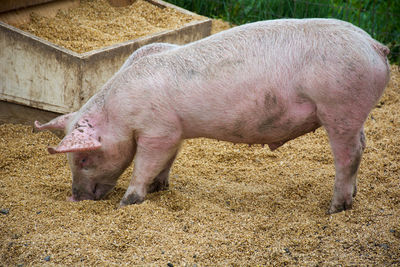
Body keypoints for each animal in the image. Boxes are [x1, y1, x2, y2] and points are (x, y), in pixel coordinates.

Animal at [36, 18, 390, 215]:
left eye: (83, 158)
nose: (74, 198)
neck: (119, 111)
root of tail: (376, 45)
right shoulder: (175, 131)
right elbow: (167, 161)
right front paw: (160, 188)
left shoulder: (157, 129)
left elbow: (144, 164)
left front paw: (128, 203)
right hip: (351, 112)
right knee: (362, 144)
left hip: (339, 106)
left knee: (349, 155)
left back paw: (334, 210)